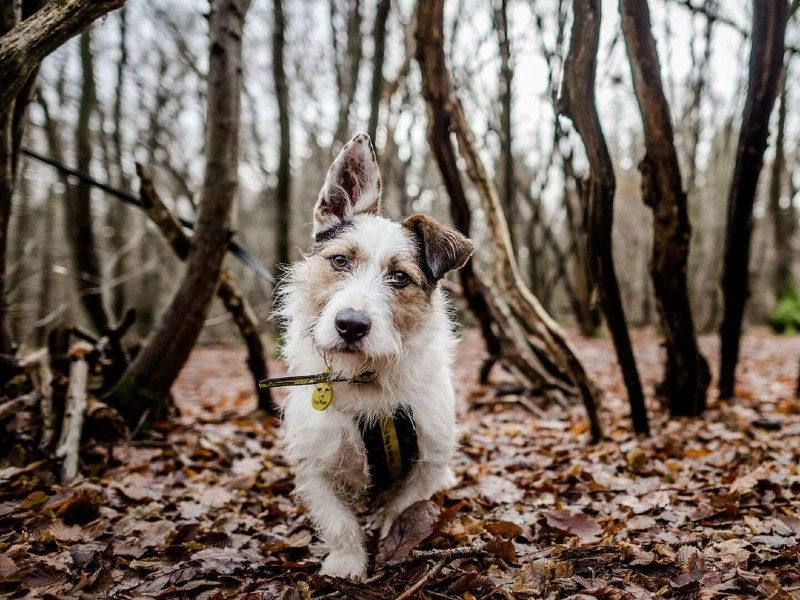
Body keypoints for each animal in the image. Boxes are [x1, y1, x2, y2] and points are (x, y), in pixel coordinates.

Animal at [276, 134, 476, 580]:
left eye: (399, 277)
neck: (366, 379)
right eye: (339, 261)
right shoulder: (316, 462)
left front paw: (390, 536)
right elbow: (337, 520)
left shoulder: (428, 460)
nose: (350, 324)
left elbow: (402, 506)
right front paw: (347, 562)